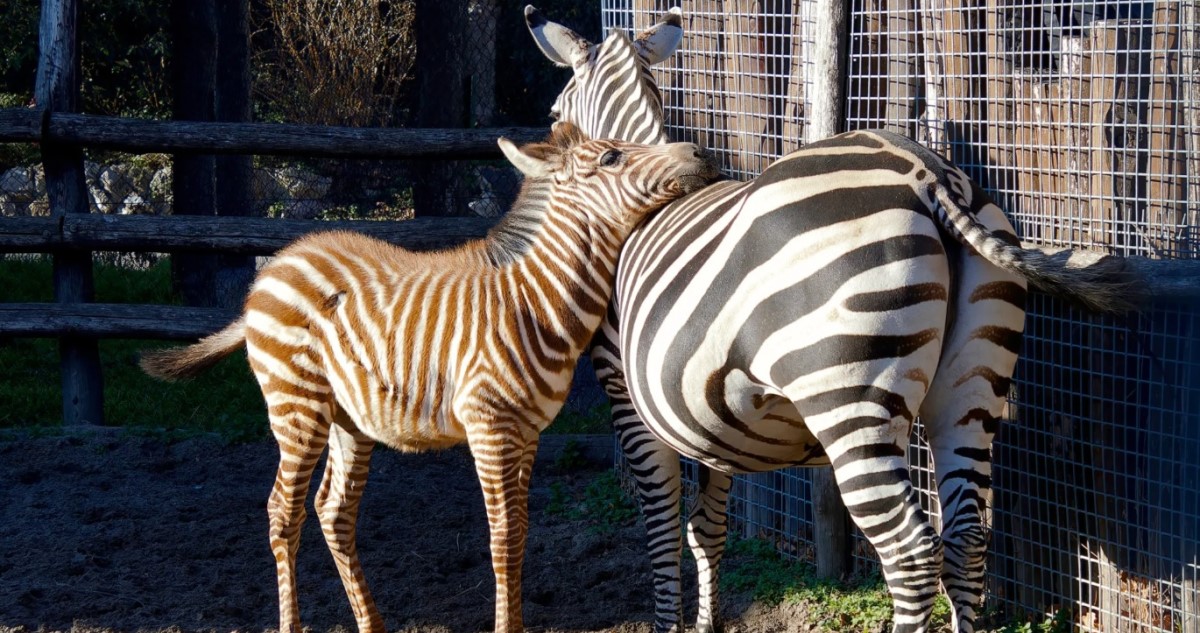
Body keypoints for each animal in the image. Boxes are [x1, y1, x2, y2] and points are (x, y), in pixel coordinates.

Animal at [141, 119, 720, 633]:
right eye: (612, 157)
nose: (701, 152)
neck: (534, 299)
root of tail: (277, 264)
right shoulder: (489, 427)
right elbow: (503, 537)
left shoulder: (527, 431)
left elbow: (522, 531)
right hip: (295, 405)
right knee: (283, 512)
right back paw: (293, 625)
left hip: (347, 417)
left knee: (333, 511)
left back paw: (372, 625)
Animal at [528, 8, 1142, 633]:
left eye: (553, 115)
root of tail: (926, 172)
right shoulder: (707, 418)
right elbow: (707, 529)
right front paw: (706, 622)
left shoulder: (626, 398)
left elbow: (663, 532)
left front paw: (671, 622)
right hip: (972, 388)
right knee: (968, 539)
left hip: (848, 399)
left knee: (910, 554)